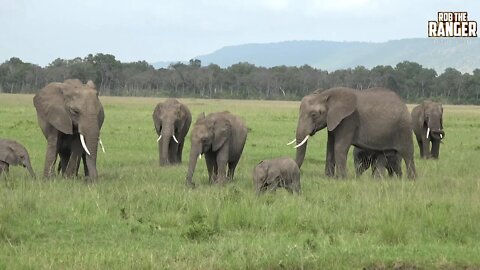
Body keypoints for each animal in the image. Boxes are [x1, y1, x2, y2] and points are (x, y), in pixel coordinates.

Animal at [288, 87, 416, 179]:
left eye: (314, 115)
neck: (326, 94)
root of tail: (403, 103)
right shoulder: (333, 120)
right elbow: (330, 146)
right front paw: (329, 178)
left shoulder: (349, 120)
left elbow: (339, 147)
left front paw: (342, 179)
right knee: (382, 154)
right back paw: (377, 180)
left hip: (403, 128)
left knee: (408, 153)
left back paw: (412, 180)